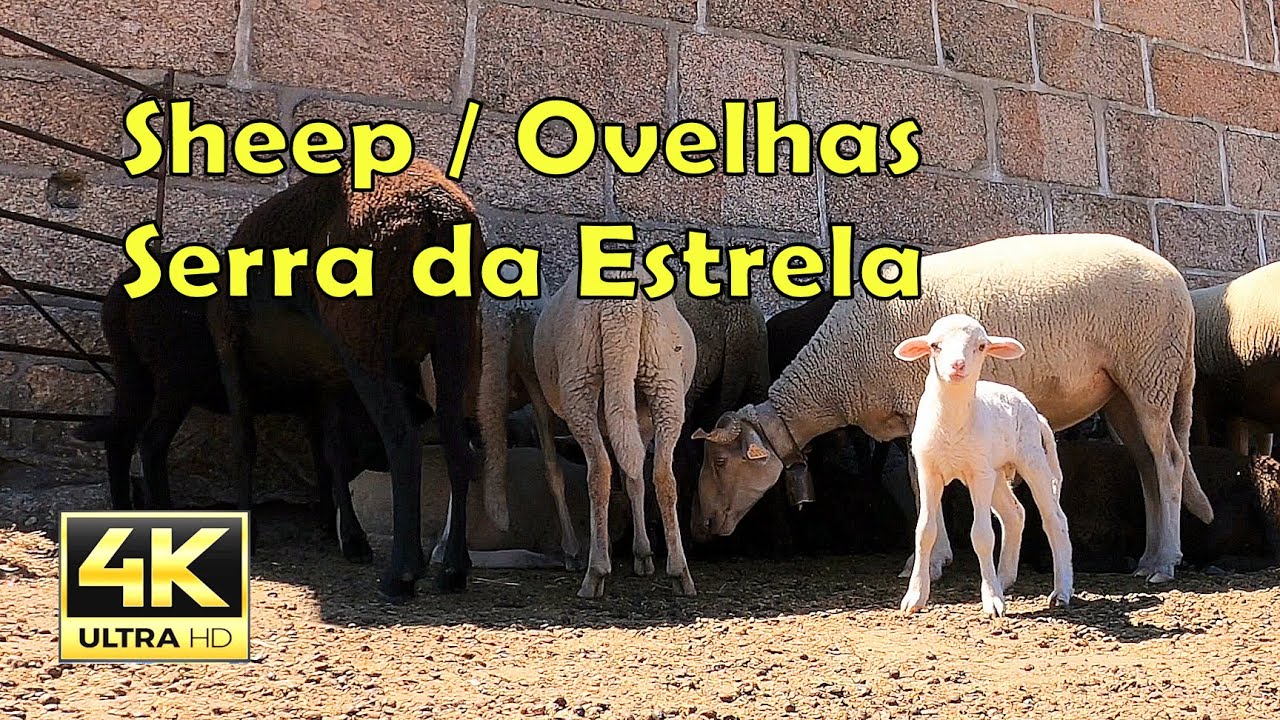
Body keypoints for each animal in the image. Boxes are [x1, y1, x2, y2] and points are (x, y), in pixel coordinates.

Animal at [206, 158, 484, 601]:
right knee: (459, 439)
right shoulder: (329, 382)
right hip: (458, 329)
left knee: (403, 440)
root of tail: (436, 214)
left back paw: (401, 574)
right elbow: (332, 452)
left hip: (362, 330)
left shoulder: (229, 351)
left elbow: (244, 444)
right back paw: (454, 569)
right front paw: (352, 539)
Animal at [533, 265, 698, 598]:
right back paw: (679, 571)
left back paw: (595, 572)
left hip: (579, 380)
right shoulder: (639, 421)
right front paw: (643, 554)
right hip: (664, 379)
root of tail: (621, 305)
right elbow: (635, 478)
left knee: (599, 472)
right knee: (663, 475)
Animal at [692, 232, 1215, 585]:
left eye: (719, 461)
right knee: (1147, 463)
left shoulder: (911, 407)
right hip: (1126, 389)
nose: (705, 525)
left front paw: (928, 561)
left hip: (1150, 369)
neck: (839, 373)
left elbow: (918, 485)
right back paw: (1148, 557)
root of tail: (1177, 281)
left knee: (1170, 461)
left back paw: (1165, 562)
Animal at [892, 314, 1072, 617]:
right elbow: (924, 530)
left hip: (1029, 457)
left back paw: (1061, 591)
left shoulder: (978, 473)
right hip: (995, 471)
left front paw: (992, 600)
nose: (957, 365)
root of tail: (1033, 411)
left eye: (981, 346)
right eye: (934, 346)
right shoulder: (929, 471)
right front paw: (914, 597)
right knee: (1015, 514)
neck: (952, 424)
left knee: (1054, 519)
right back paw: (1003, 578)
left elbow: (982, 536)